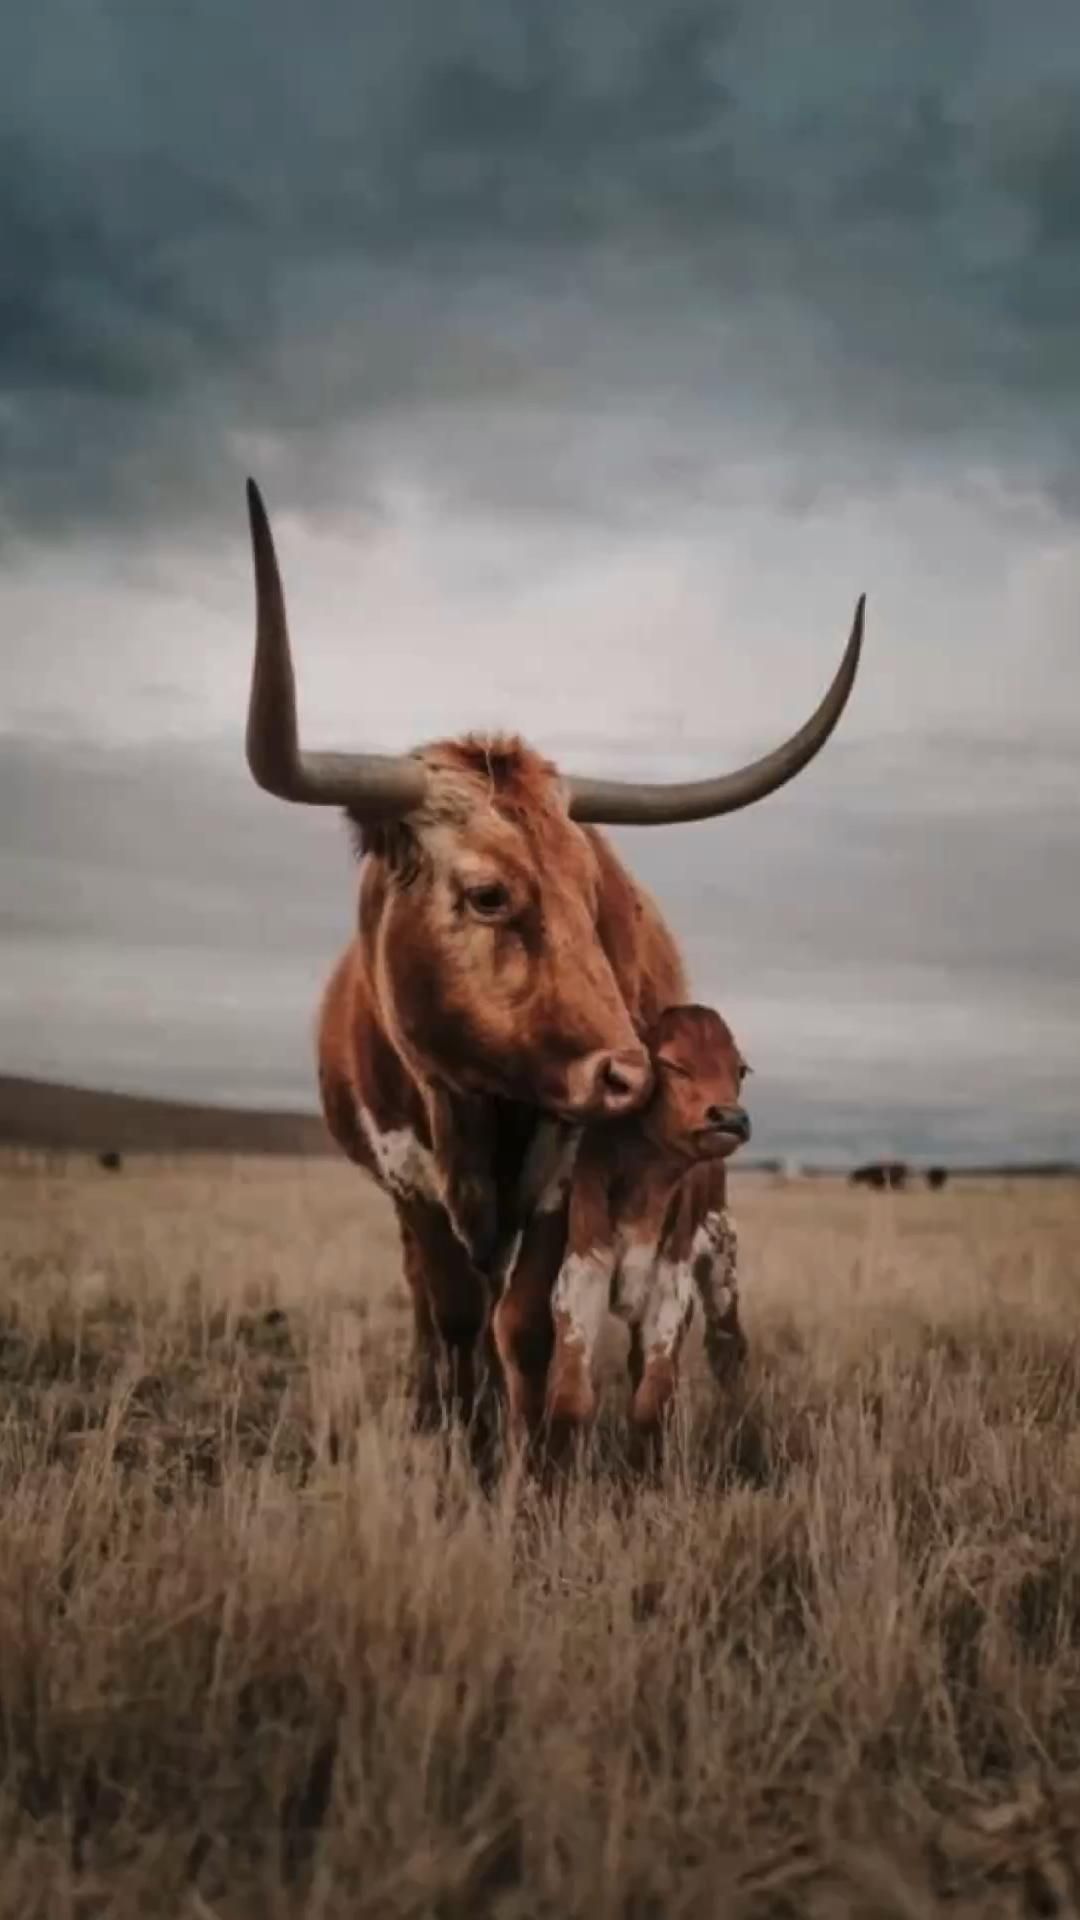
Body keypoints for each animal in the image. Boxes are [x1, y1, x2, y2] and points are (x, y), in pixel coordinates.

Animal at [545, 1006, 749, 1451]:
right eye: (671, 1064)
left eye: (741, 1069)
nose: (730, 1118)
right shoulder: (581, 1276)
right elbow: (570, 1399)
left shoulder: (671, 1290)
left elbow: (651, 1403)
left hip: (722, 1270)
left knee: (728, 1347)